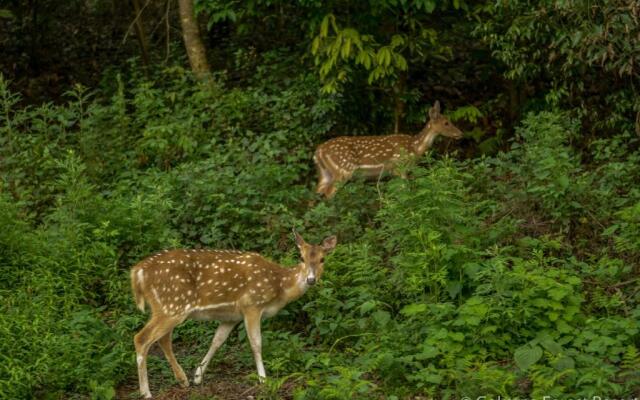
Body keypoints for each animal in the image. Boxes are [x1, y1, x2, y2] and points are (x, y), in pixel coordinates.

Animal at [132, 231, 338, 396]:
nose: (310, 279)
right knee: (142, 338)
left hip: (166, 307)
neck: (279, 286)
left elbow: (217, 341)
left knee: (163, 339)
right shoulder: (252, 305)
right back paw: (146, 392)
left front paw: (198, 376)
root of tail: (137, 272)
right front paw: (263, 379)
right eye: (301, 257)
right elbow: (256, 343)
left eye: (322, 259)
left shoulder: (231, 317)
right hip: (172, 305)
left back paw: (182, 380)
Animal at [312, 101, 462, 198]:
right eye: (446, 123)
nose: (460, 133)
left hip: (326, 173)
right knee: (329, 193)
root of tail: (318, 152)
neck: (414, 146)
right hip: (343, 170)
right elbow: (404, 190)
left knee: (317, 194)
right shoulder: (399, 167)